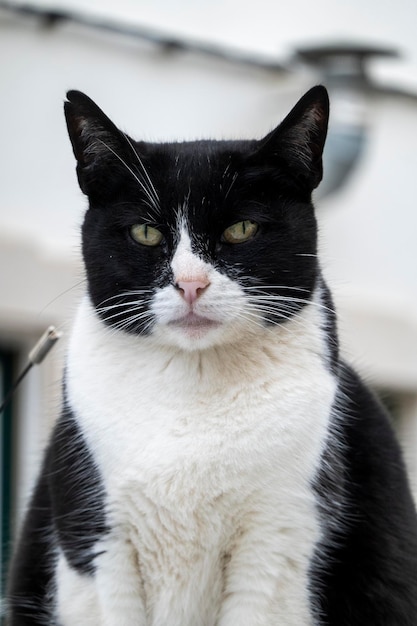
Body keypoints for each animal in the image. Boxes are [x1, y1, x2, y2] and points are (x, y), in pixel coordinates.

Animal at [5, 86, 416, 624]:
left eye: (241, 229)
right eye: (146, 233)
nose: (191, 284)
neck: (192, 382)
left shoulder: (279, 542)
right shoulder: (93, 541)